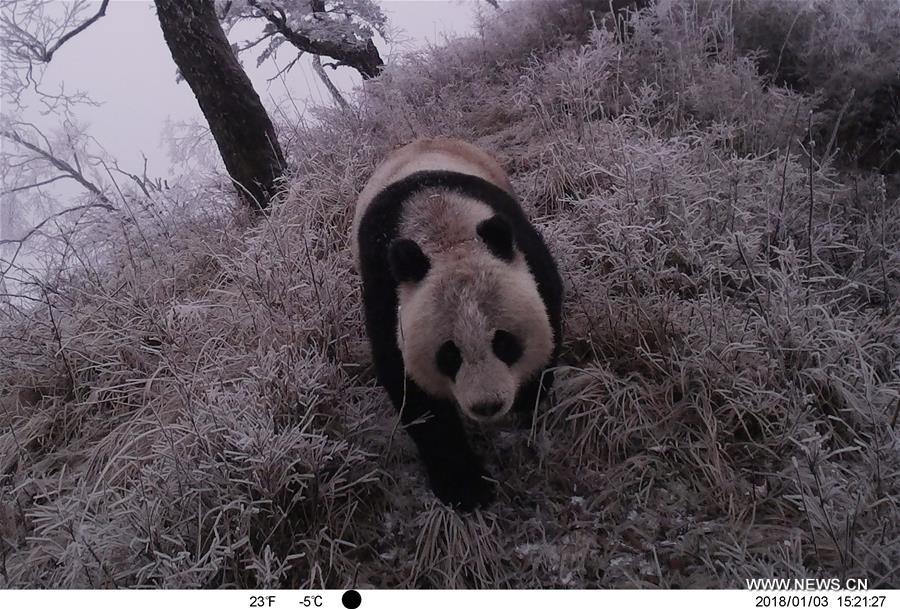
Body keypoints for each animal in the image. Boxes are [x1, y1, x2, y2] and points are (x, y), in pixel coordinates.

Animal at [352, 137, 564, 508]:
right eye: (449, 354)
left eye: (503, 342)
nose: (488, 405)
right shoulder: (385, 293)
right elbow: (413, 392)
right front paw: (466, 488)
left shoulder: (529, 258)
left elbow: (550, 321)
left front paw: (529, 400)